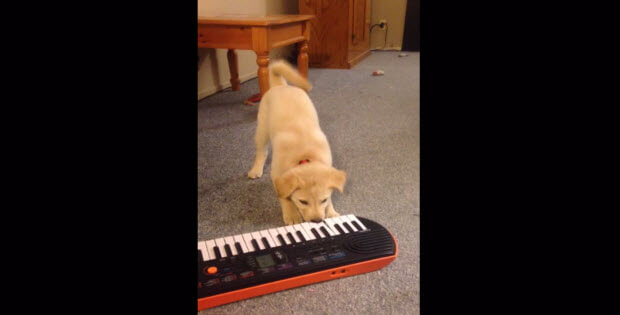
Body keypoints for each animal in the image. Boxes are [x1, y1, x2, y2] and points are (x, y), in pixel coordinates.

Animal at [246, 60, 344, 226]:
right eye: (303, 202)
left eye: (323, 200)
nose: (317, 221)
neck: (305, 157)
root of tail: (281, 86)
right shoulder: (277, 175)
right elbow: (285, 196)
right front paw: (292, 215)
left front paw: (331, 212)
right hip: (262, 129)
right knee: (261, 151)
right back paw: (256, 169)